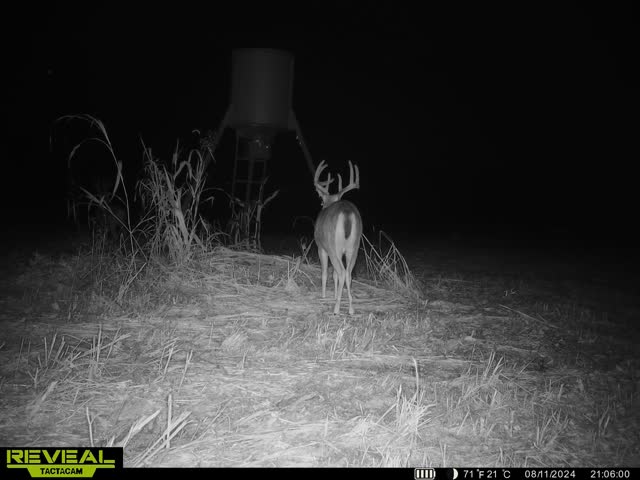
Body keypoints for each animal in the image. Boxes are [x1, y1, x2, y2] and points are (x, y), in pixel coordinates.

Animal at [313, 160, 363, 315]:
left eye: (321, 200)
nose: (322, 204)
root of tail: (347, 213)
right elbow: (334, 274)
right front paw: (335, 295)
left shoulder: (321, 247)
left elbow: (325, 273)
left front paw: (324, 296)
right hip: (354, 246)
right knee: (348, 273)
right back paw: (351, 308)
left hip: (333, 246)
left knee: (341, 272)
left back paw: (336, 308)